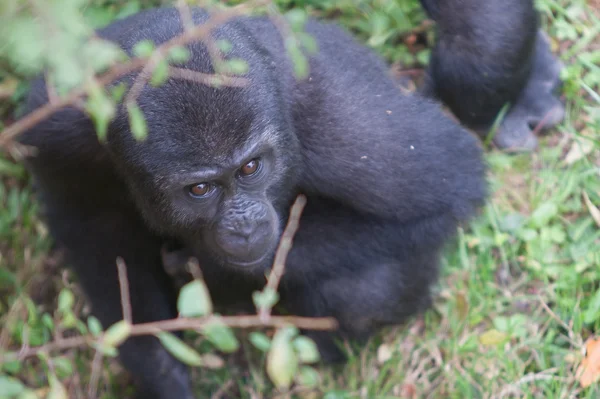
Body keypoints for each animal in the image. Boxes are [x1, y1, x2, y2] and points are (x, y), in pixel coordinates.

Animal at [17, 1, 564, 398]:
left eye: (251, 168)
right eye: (200, 189)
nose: (245, 224)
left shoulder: (341, 122)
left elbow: (446, 190)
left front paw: (209, 271)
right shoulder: (60, 125)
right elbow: (96, 234)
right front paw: (161, 373)